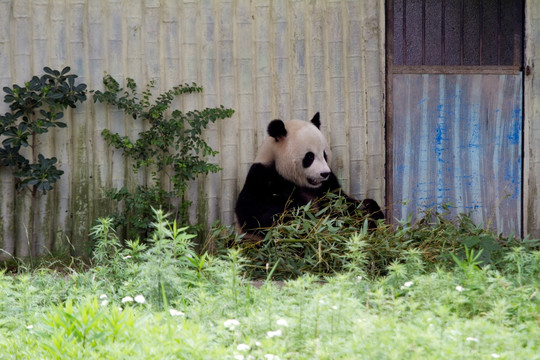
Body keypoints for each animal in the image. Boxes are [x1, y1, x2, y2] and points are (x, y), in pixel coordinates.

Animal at [235, 112, 384, 236]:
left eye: (324, 154)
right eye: (309, 157)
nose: (324, 173)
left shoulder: (328, 185)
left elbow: (342, 202)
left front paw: (368, 210)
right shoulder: (261, 177)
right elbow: (257, 215)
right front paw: (306, 221)